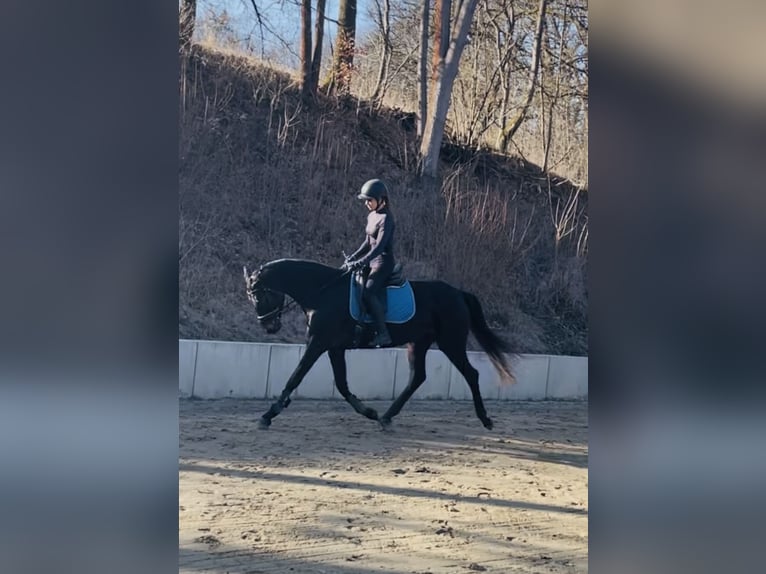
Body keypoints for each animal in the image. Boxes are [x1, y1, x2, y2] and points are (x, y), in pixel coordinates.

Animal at [244, 260, 516, 432]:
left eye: (258, 295)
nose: (268, 326)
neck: (322, 293)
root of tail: (458, 293)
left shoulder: (318, 343)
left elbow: (296, 376)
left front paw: (269, 414)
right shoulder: (334, 347)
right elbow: (342, 385)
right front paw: (370, 412)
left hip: (451, 341)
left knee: (471, 374)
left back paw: (485, 419)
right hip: (419, 343)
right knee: (417, 377)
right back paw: (386, 417)